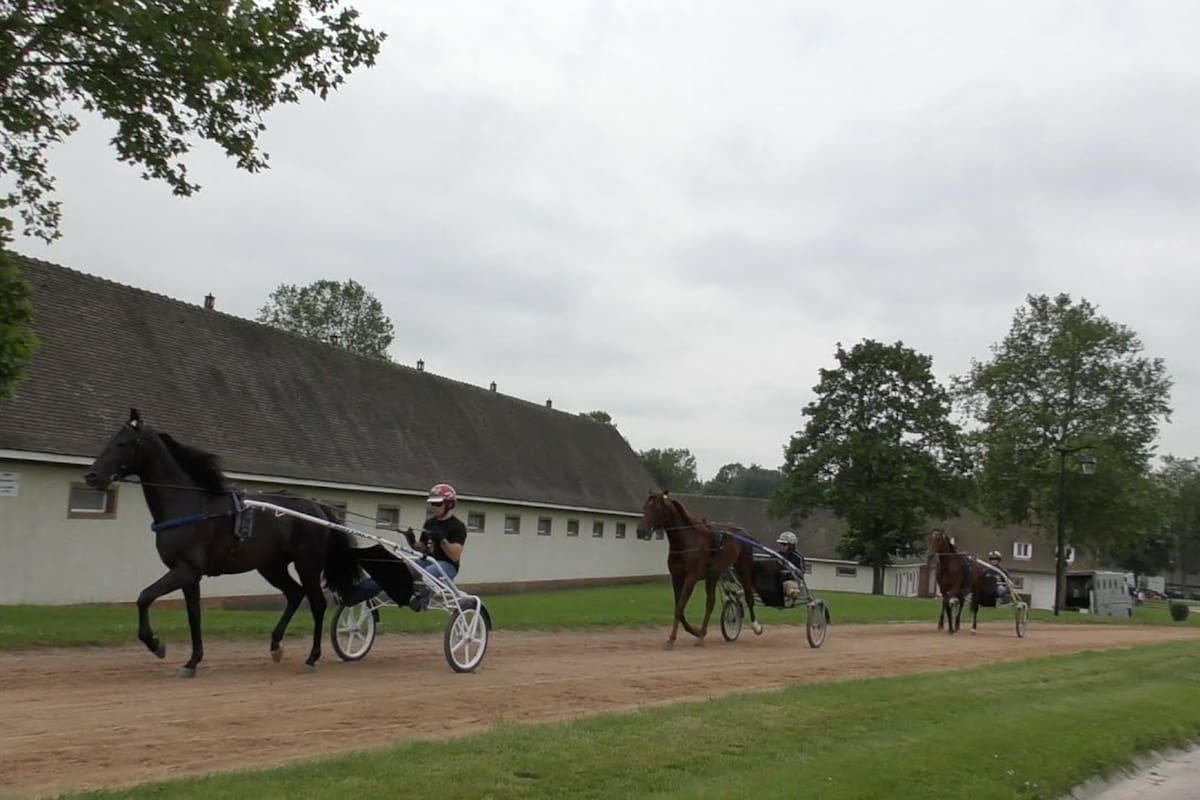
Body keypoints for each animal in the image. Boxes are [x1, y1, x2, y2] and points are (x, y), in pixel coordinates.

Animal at [83, 408, 360, 677]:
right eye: (110, 440)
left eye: (123, 443)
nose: (92, 476)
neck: (190, 506)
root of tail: (317, 506)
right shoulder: (189, 576)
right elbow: (193, 616)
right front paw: (192, 661)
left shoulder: (185, 570)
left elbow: (144, 597)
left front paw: (156, 644)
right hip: (271, 566)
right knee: (294, 594)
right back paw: (275, 646)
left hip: (307, 563)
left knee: (317, 604)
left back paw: (312, 657)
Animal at [636, 490, 762, 649]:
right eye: (645, 507)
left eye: (657, 509)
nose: (640, 531)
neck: (687, 540)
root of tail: (744, 532)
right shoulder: (676, 577)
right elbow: (679, 608)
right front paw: (695, 631)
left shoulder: (691, 577)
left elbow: (679, 608)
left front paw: (671, 640)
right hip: (713, 575)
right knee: (711, 603)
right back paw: (701, 634)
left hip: (743, 567)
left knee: (748, 596)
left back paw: (756, 626)